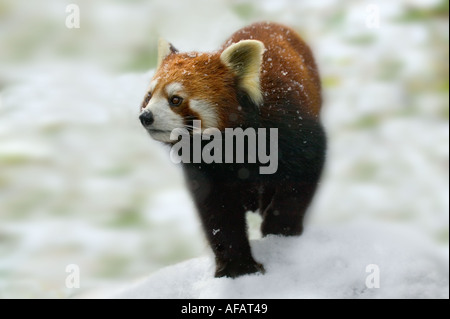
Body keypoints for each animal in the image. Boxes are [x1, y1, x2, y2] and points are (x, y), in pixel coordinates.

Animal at [139, 21, 326, 278]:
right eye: (148, 96)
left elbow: (301, 177)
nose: (145, 116)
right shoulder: (206, 169)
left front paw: (280, 228)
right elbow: (219, 213)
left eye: (175, 99)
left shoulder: (290, 127)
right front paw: (238, 268)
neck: (231, 143)